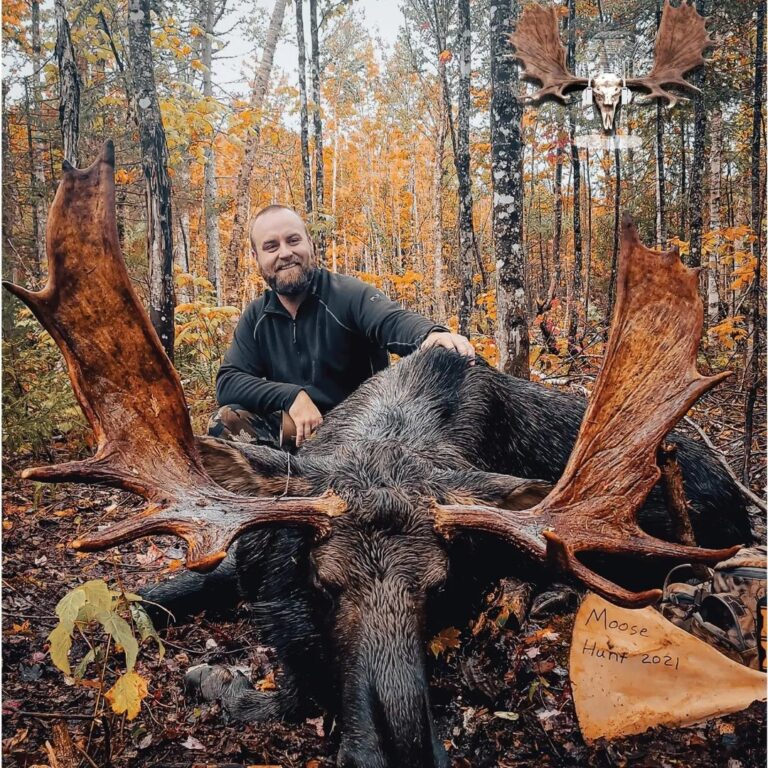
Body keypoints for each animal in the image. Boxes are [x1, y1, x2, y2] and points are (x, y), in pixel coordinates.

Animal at [6, 146, 752, 768]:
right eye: (325, 582)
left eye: (440, 588)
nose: (399, 753)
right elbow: (147, 596)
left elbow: (287, 694)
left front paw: (220, 679)